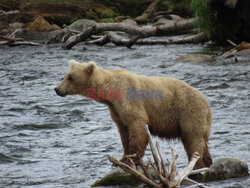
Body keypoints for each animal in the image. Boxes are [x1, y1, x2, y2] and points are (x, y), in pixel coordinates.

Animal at [55, 60, 213, 169]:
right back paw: (207, 162)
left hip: (189, 113)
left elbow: (137, 125)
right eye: (65, 75)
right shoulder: (116, 110)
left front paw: (133, 158)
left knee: (193, 140)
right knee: (202, 142)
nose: (57, 89)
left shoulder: (129, 99)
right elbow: (123, 133)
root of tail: (206, 103)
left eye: (70, 77)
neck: (109, 92)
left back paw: (196, 165)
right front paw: (121, 159)